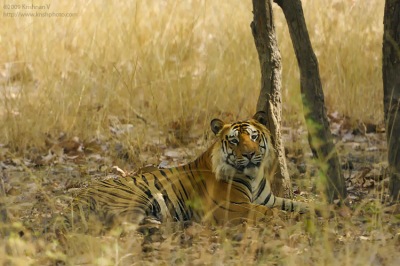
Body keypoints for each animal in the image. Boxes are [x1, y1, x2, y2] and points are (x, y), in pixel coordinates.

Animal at [76, 111, 306, 228]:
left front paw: (312, 209)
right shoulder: (231, 207)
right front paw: (291, 219)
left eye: (254, 137)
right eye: (234, 141)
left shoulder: (271, 198)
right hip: (133, 199)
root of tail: (78, 195)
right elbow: (268, 211)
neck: (254, 176)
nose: (249, 154)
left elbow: (296, 204)